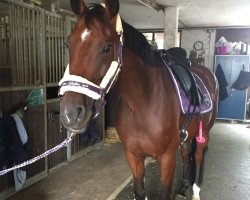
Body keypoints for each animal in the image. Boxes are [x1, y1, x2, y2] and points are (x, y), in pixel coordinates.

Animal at [58, 0, 217, 199]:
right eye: (68, 44)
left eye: (107, 47)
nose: (70, 114)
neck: (143, 105)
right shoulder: (133, 155)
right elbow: (140, 190)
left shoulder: (167, 158)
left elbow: (165, 193)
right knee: (187, 154)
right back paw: (182, 189)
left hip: (205, 134)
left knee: (197, 156)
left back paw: (195, 191)